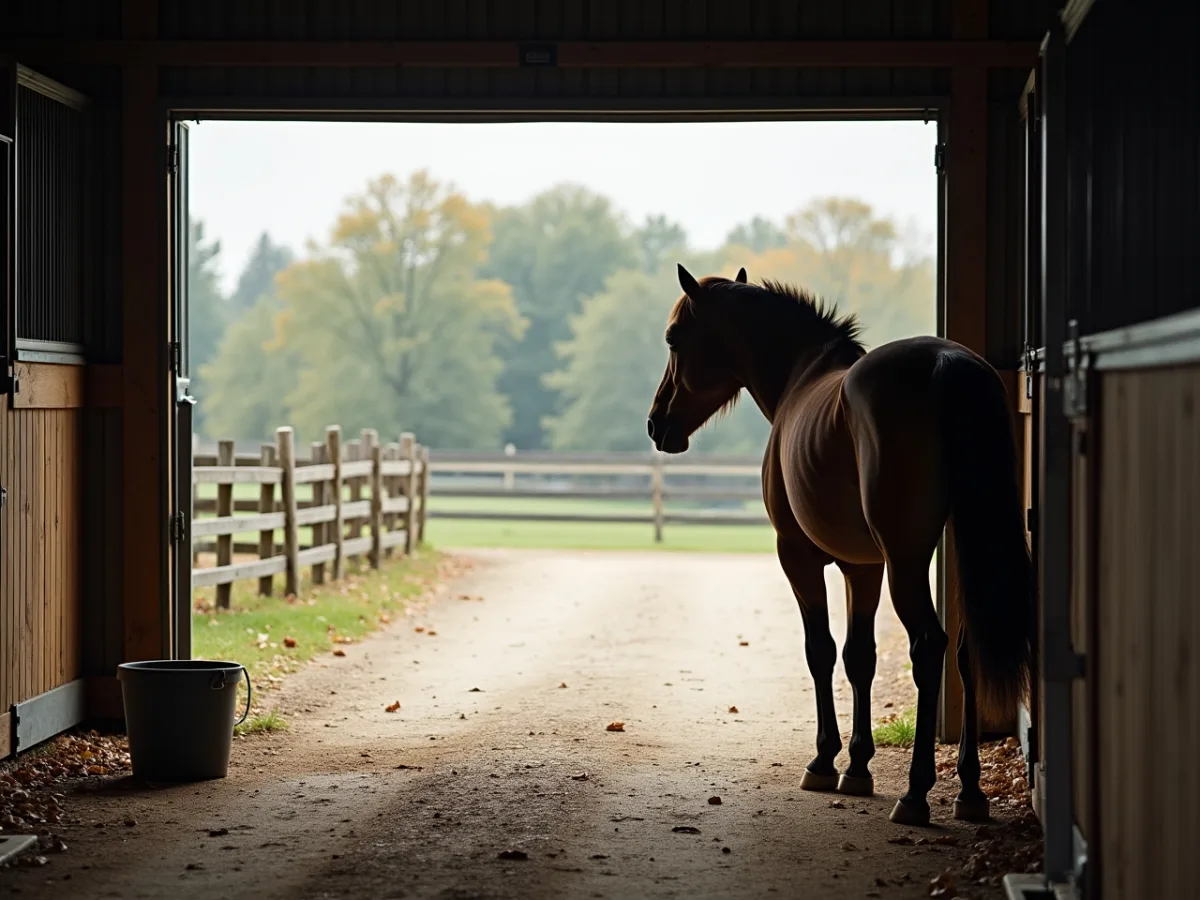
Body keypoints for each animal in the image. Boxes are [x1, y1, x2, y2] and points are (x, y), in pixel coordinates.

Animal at [647, 265, 1034, 826]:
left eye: (674, 339)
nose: (657, 424)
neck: (802, 376)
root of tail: (947, 363)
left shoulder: (799, 557)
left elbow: (821, 651)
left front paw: (825, 760)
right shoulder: (862, 567)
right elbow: (859, 656)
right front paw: (857, 766)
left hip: (906, 560)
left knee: (929, 646)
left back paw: (916, 793)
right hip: (956, 554)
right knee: (965, 651)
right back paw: (969, 791)